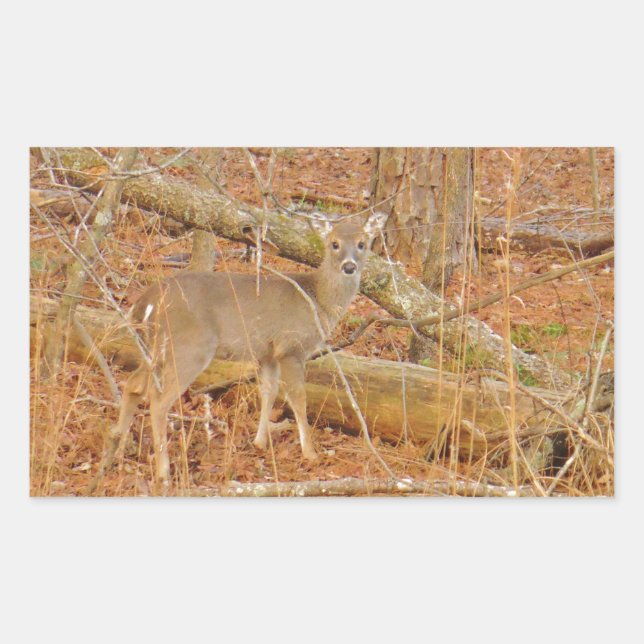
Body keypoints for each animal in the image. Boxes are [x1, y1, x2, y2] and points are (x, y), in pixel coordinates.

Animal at [89, 211, 388, 494]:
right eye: (334, 243)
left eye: (362, 243)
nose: (349, 266)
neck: (318, 301)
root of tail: (146, 301)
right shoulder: (291, 347)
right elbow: (297, 399)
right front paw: (310, 453)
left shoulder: (267, 352)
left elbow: (268, 391)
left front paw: (259, 442)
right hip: (190, 347)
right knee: (159, 400)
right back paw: (163, 472)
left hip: (155, 348)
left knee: (133, 385)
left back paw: (116, 448)